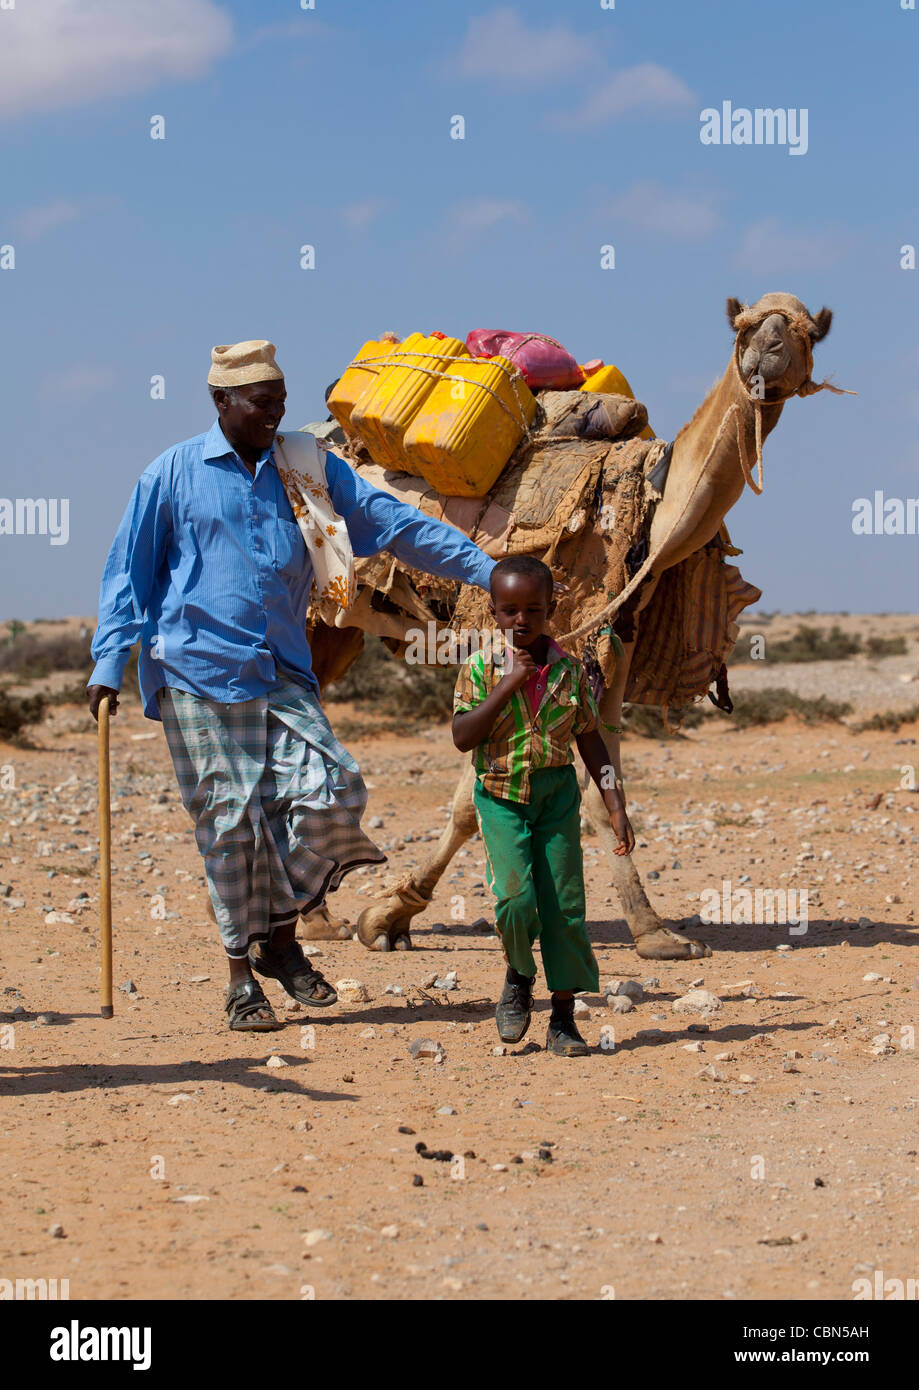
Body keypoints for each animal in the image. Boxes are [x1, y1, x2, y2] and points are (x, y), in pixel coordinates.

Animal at [304, 296, 839, 956]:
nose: (765, 354)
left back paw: (313, 917)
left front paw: (656, 933)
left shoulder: (612, 646)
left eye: (806, 332)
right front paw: (387, 915)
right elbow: (474, 797)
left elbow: (599, 782)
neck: (655, 516)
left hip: (338, 626)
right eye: (742, 328)